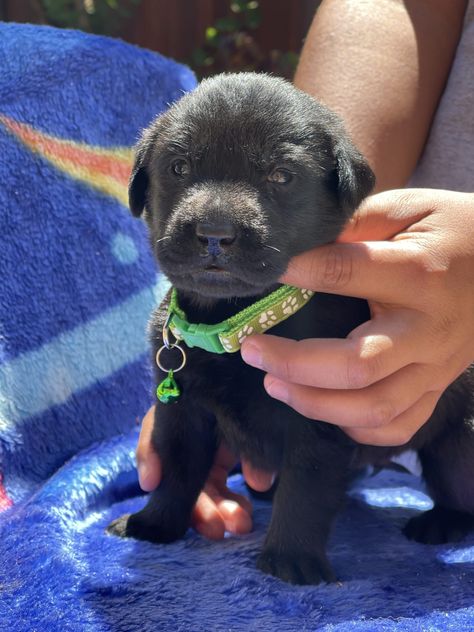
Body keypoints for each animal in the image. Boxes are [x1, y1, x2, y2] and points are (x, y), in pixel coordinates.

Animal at [109, 73, 474, 584]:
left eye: (281, 176)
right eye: (179, 167)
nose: (214, 233)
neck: (239, 320)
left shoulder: (318, 418)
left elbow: (306, 488)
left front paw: (291, 558)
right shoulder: (182, 409)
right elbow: (176, 469)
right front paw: (155, 523)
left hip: (459, 438)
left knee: (456, 484)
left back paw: (442, 521)